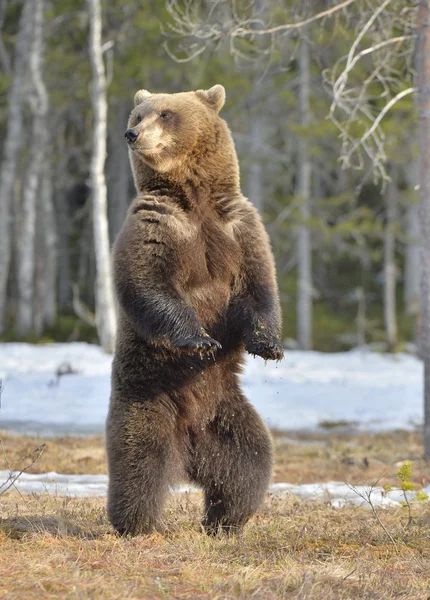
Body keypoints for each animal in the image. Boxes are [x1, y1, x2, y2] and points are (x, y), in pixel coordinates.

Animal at [106, 83, 284, 536]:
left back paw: (224, 521)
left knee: (249, 464)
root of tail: (189, 453)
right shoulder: (157, 226)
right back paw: (134, 524)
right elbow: (149, 285)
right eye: (138, 116)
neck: (195, 198)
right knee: (139, 465)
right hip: (147, 400)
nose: (132, 134)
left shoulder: (239, 228)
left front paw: (269, 346)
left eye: (165, 114)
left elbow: (259, 286)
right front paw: (200, 340)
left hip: (227, 417)